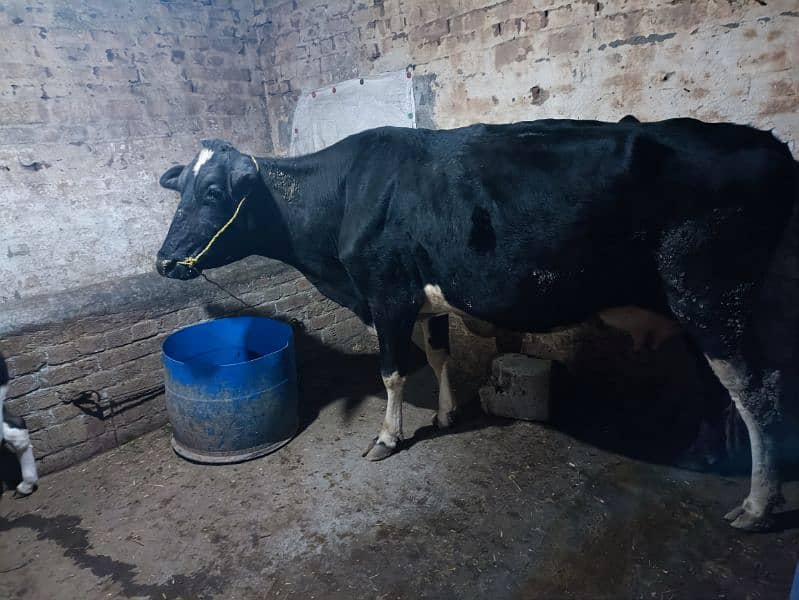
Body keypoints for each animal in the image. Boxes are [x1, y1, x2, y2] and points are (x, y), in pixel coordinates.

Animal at [158, 118, 799, 528]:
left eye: (213, 191)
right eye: (179, 189)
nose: (164, 263)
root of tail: (769, 143)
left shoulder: (387, 295)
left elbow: (392, 372)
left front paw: (388, 438)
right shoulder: (427, 299)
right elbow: (439, 354)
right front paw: (446, 414)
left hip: (712, 298)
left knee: (757, 390)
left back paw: (757, 506)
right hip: (700, 310)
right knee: (725, 389)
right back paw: (712, 457)